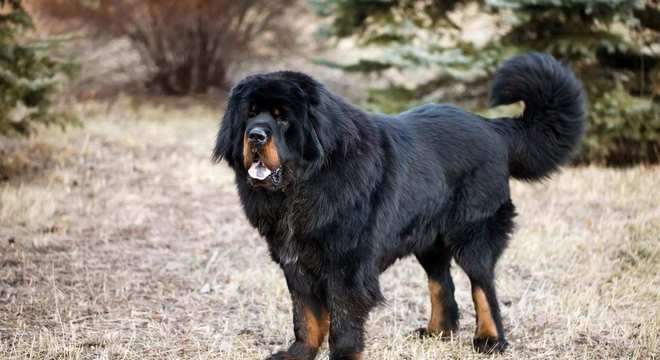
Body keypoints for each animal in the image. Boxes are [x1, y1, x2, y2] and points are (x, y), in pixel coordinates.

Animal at [214, 52, 584, 358]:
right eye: (250, 115)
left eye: (282, 118)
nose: (255, 136)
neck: (303, 186)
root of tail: (490, 126)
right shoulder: (297, 262)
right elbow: (306, 317)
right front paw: (299, 353)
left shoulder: (347, 266)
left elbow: (342, 322)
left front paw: (344, 354)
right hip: (428, 238)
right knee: (441, 283)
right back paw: (437, 332)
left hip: (472, 234)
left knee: (483, 285)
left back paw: (490, 340)